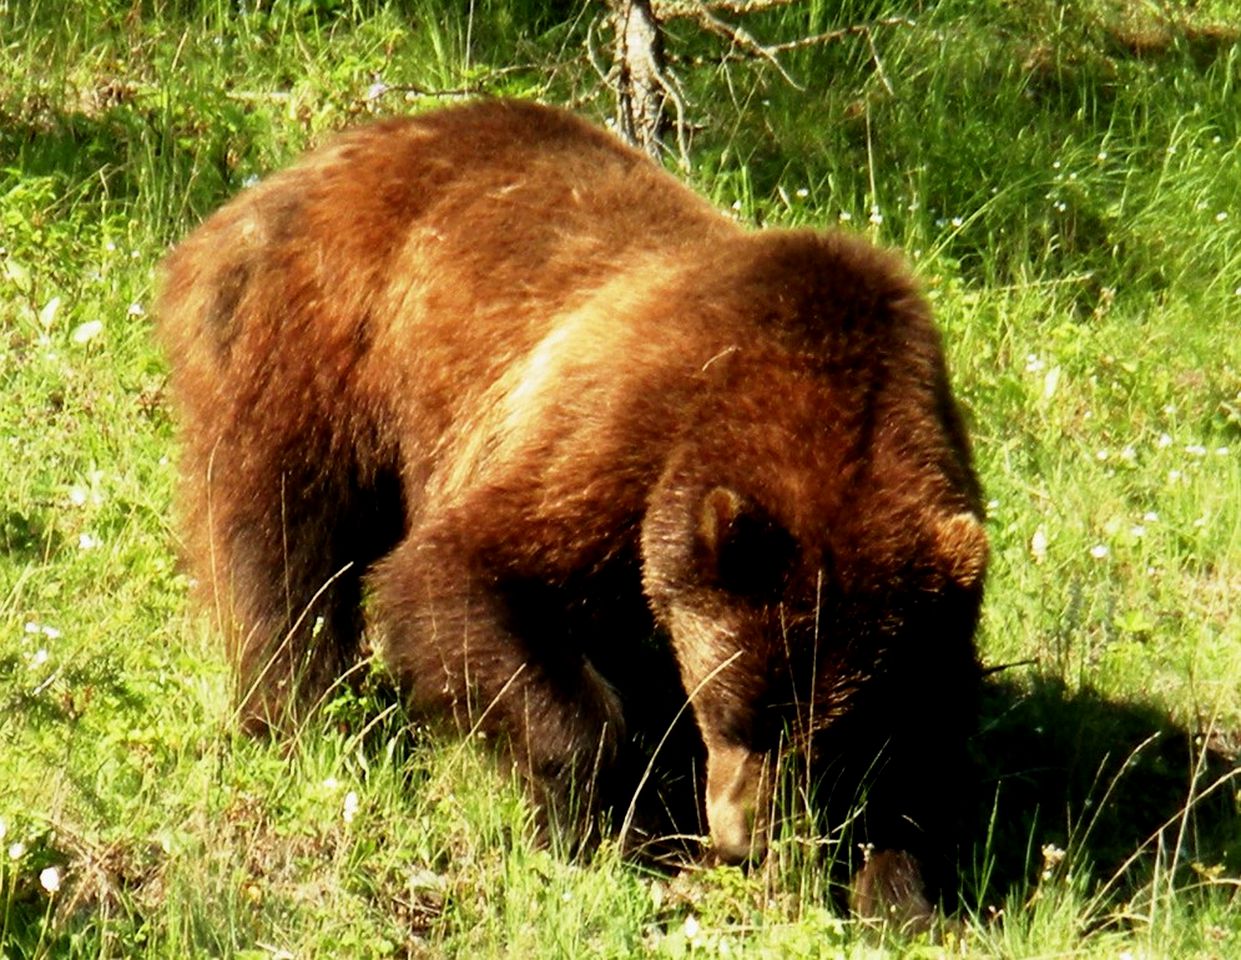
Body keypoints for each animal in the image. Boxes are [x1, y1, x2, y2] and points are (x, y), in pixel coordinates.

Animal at [155, 97, 987, 922]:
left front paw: (899, 887)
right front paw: (602, 826)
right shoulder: (624, 437)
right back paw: (304, 719)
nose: (743, 837)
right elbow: (462, 573)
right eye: (739, 712)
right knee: (282, 538)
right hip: (321, 343)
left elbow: (929, 742)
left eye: (831, 737)